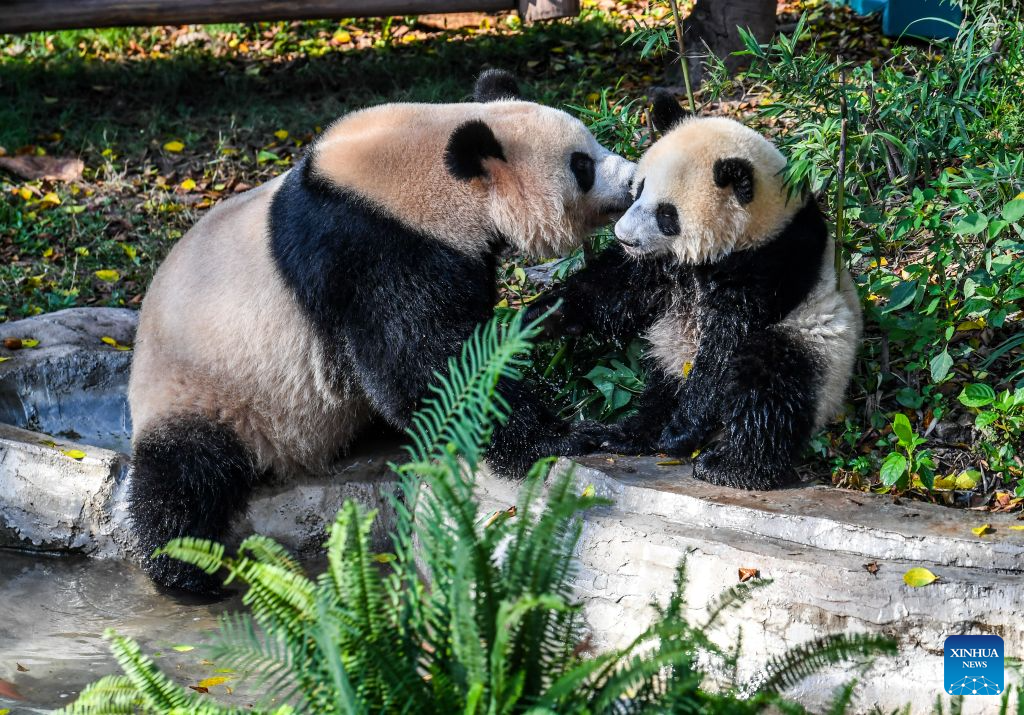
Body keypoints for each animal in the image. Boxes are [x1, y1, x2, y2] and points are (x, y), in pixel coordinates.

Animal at [127, 70, 635, 592]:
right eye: (581, 165)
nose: (636, 180)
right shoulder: (370, 249)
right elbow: (422, 363)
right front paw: (564, 437)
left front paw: (555, 313)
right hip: (210, 388)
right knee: (182, 478)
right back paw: (183, 571)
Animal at [530, 92, 862, 490]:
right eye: (638, 189)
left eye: (667, 215)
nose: (623, 236)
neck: (754, 231)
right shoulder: (661, 264)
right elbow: (614, 288)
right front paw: (540, 317)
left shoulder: (772, 265)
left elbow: (725, 347)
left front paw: (681, 433)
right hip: (673, 354)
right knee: (662, 388)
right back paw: (622, 434)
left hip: (818, 347)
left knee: (770, 386)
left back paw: (731, 466)